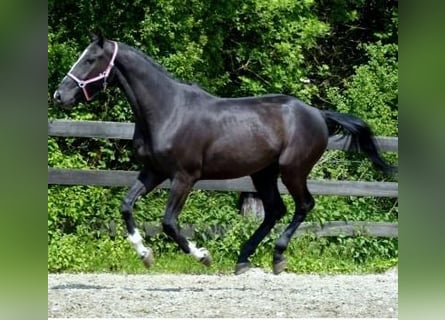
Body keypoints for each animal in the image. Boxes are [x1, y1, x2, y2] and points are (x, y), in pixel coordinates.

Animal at [53, 34, 396, 276]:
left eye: (90, 59)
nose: (60, 95)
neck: (167, 110)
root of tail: (317, 113)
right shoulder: (154, 171)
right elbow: (126, 205)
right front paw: (145, 255)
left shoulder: (184, 177)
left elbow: (169, 223)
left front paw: (202, 255)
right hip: (263, 173)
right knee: (275, 210)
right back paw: (244, 259)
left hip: (292, 170)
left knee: (303, 206)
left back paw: (277, 256)